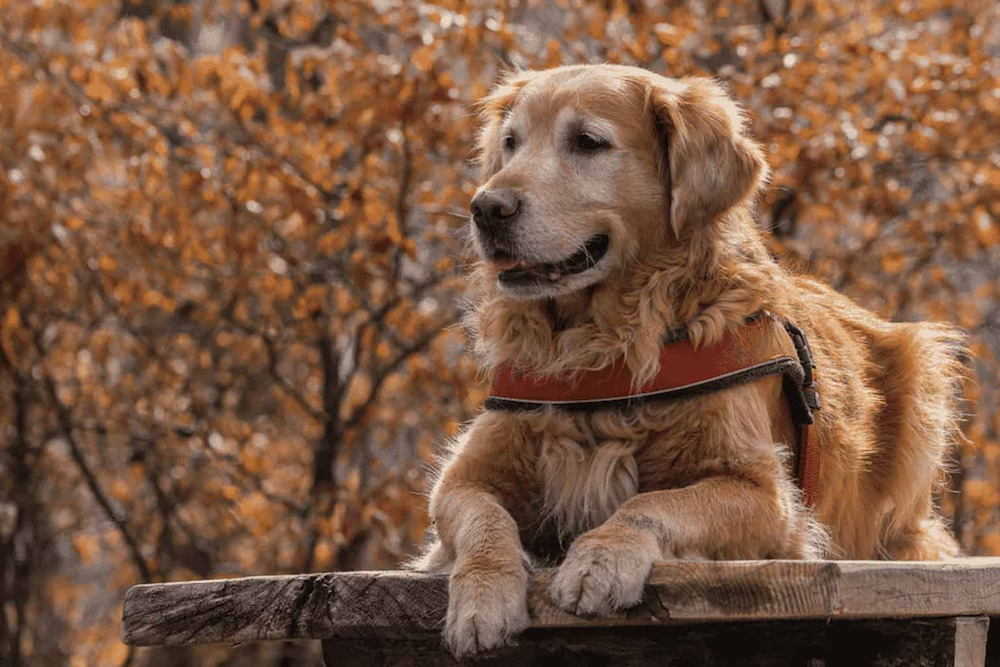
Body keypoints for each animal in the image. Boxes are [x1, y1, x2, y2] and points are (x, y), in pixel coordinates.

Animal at [410, 64, 964, 656]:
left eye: (588, 142)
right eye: (511, 143)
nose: (486, 208)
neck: (603, 347)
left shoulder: (767, 497)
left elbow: (651, 505)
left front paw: (599, 561)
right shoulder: (462, 479)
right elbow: (483, 520)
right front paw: (483, 596)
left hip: (924, 371)